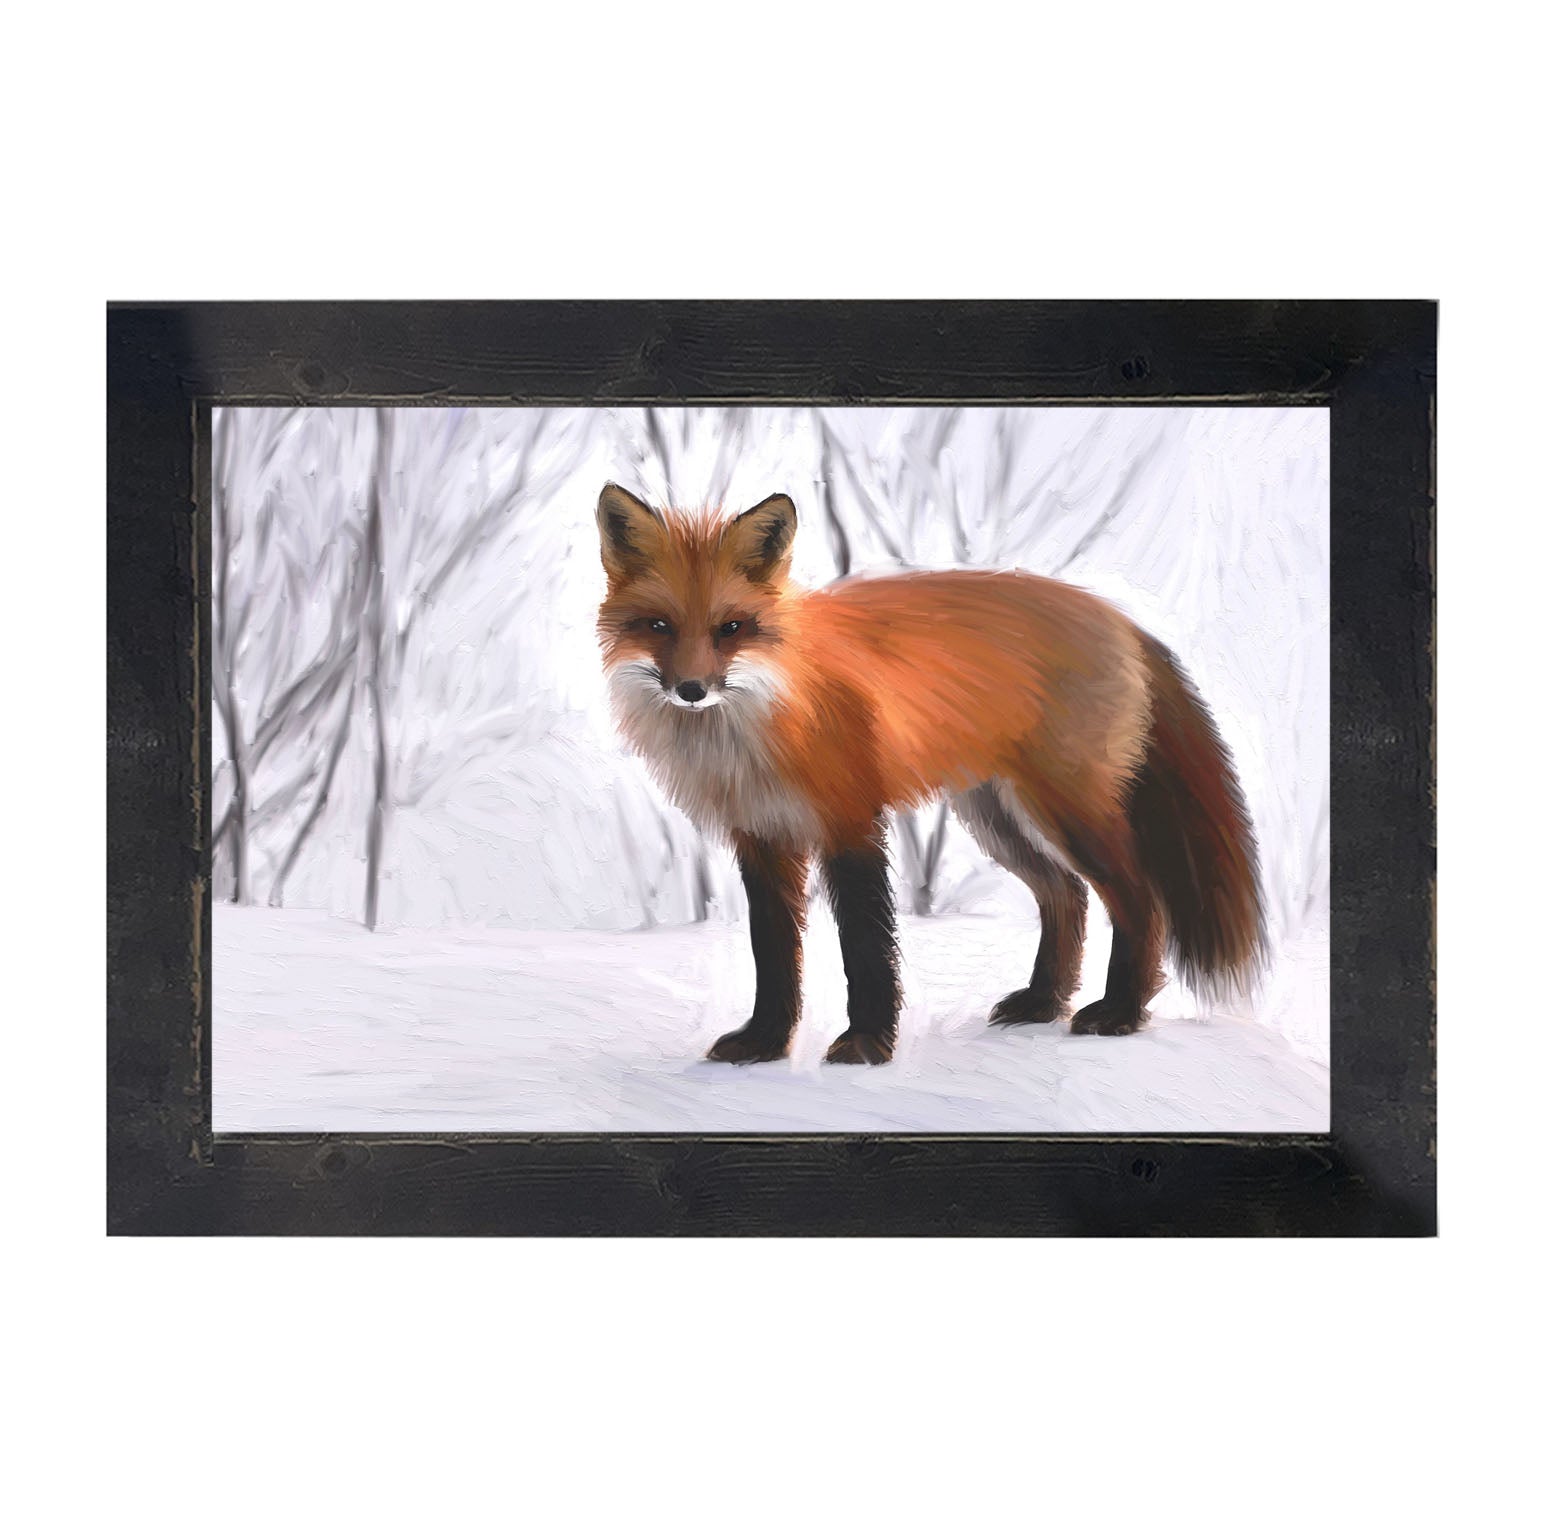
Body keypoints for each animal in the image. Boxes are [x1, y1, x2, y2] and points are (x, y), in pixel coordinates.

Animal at [595, 482, 1264, 1066]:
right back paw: (1043, 1002)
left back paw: (1120, 1013)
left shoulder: (851, 822)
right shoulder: (761, 838)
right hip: (996, 818)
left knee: (1139, 899)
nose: (691, 690)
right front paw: (764, 1043)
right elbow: (774, 953)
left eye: (730, 628)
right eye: (659, 626)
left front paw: (866, 1046)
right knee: (1065, 894)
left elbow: (864, 947)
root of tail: (1118, 617)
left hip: (1069, 812)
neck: (762, 723)